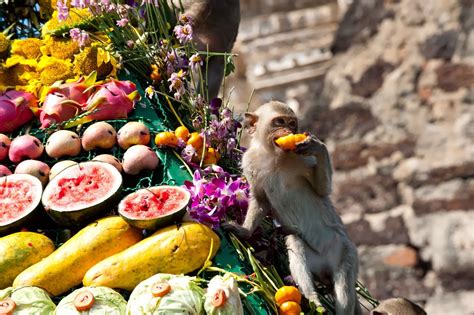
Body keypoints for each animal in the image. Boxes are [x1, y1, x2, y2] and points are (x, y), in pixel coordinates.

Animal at [224, 101, 362, 315]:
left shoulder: (304, 158)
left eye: (292, 124)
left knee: (344, 284)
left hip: (344, 252)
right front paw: (244, 231)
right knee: (295, 241)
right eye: (279, 121)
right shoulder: (249, 162)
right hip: (315, 263)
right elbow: (260, 200)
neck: (274, 156)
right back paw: (313, 298)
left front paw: (318, 147)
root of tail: (325, 269)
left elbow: (322, 190)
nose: (289, 131)